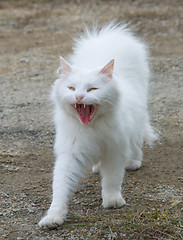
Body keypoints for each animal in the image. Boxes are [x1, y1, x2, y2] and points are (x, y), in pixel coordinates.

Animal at [38, 23, 156, 229]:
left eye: (92, 89)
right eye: (71, 88)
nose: (79, 97)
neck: (90, 128)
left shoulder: (115, 151)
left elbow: (112, 180)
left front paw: (112, 201)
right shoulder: (70, 154)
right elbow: (60, 188)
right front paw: (53, 217)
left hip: (135, 125)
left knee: (136, 144)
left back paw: (133, 162)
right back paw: (96, 167)